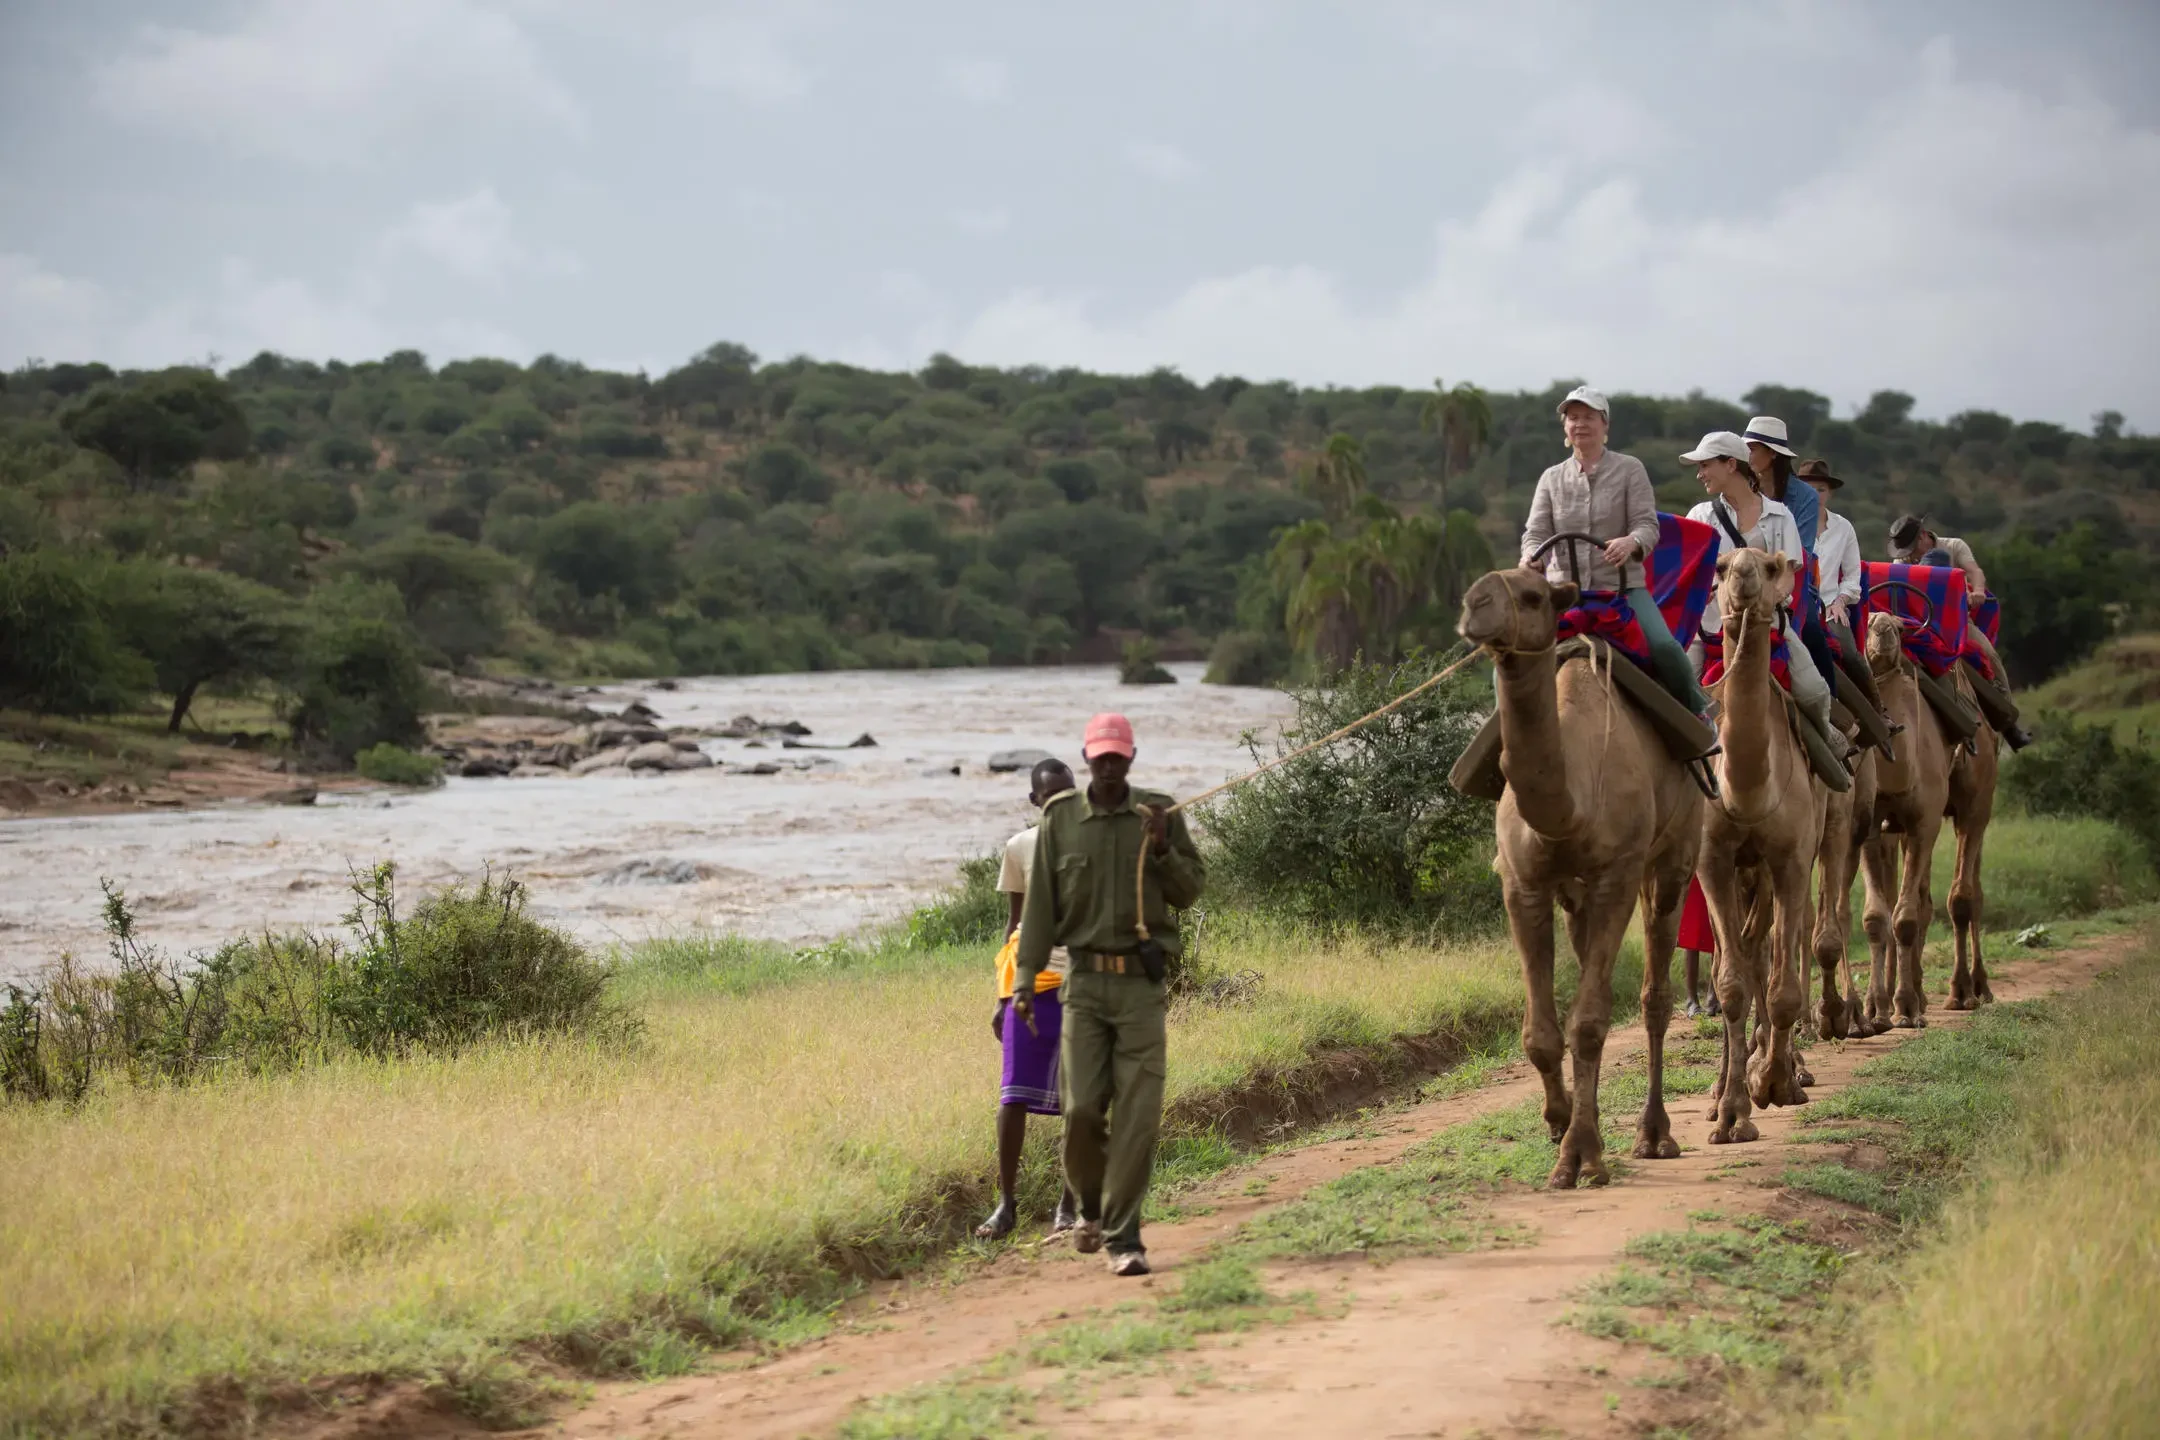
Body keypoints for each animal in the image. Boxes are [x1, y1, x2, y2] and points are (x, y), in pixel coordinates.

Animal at [1458, 567, 1704, 1188]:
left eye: (1532, 596)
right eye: (1474, 589)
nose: (1475, 607)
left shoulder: (1619, 874)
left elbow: (1589, 1022)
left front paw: (1581, 1156)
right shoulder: (1521, 883)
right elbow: (1542, 1034)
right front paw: (1559, 1121)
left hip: (1676, 852)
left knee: (1655, 994)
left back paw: (1654, 1134)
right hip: (1577, 897)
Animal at [1856, 613, 2001, 1027]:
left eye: (1901, 627)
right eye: (1865, 621)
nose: (1882, 627)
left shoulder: (1926, 821)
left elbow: (1908, 917)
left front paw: (1906, 1007)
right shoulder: (1872, 828)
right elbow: (1877, 916)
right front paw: (1876, 1008)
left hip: (1977, 802)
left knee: (1966, 893)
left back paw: (1970, 989)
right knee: (1916, 898)